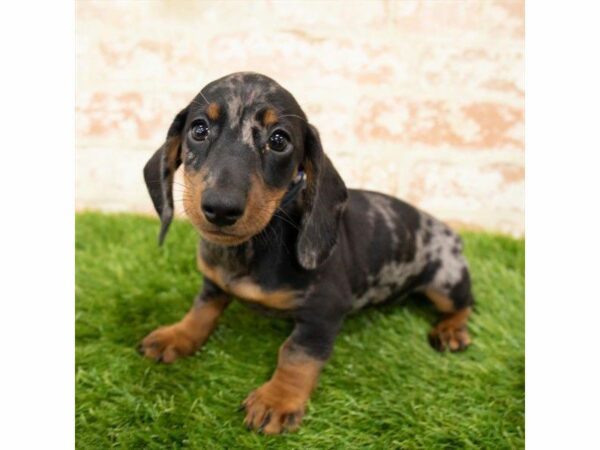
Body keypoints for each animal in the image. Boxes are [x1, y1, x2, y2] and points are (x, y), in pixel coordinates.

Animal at [141, 72, 474, 434]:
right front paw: (176, 336)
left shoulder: (324, 310)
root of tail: (448, 231)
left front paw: (277, 400)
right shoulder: (213, 284)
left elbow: (296, 355)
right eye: (199, 129)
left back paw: (451, 330)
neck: (252, 247)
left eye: (279, 140)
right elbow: (201, 312)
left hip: (446, 282)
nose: (221, 208)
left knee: (466, 304)